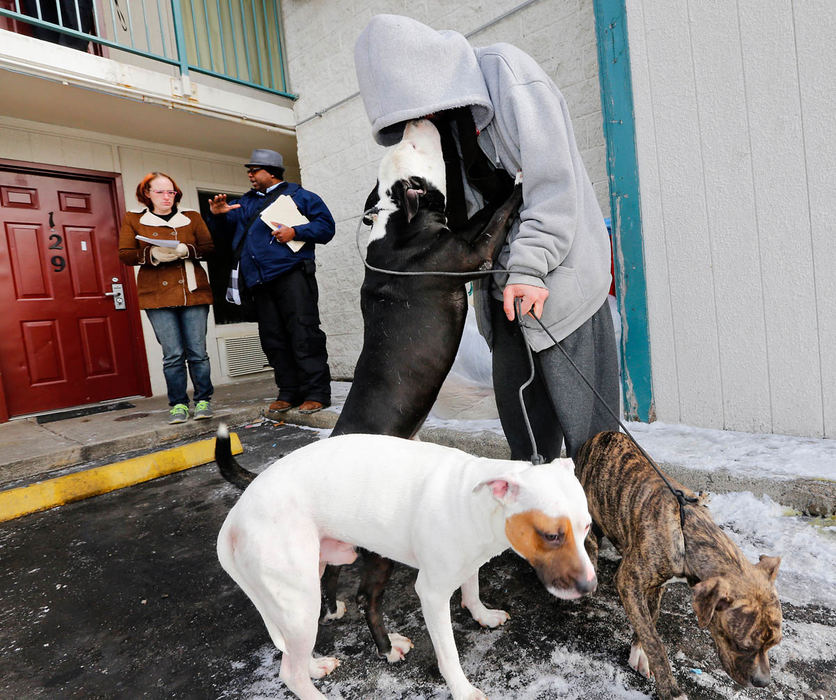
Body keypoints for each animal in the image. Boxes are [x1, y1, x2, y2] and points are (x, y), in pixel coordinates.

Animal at [216, 426, 596, 700]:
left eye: (587, 527)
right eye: (551, 536)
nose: (590, 586)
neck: (476, 500)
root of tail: (235, 516)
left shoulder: (470, 559)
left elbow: (471, 588)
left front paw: (482, 614)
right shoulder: (431, 593)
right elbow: (449, 654)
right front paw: (463, 690)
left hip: (301, 594)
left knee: (294, 654)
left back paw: (314, 665)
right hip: (300, 599)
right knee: (289, 673)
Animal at [580, 432, 780, 700]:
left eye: (774, 643)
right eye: (742, 644)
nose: (763, 682)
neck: (688, 532)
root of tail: (600, 435)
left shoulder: (656, 585)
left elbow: (650, 619)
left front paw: (638, 653)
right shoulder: (629, 581)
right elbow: (655, 640)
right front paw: (670, 690)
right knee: (589, 541)